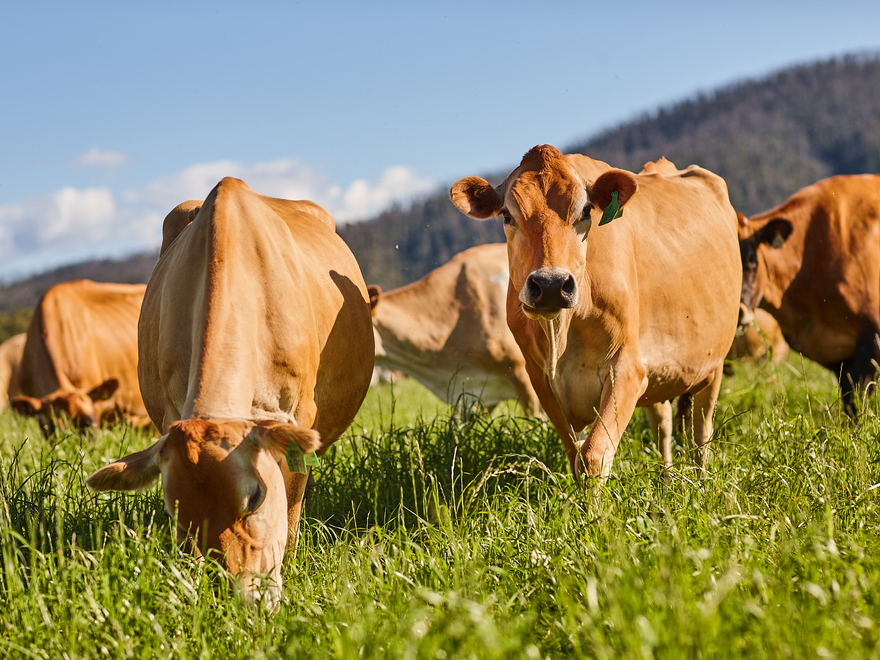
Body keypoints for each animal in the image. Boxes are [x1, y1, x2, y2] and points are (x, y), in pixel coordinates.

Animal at [451, 146, 741, 478]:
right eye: (507, 214)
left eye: (586, 211)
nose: (551, 284)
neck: (562, 335)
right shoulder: (540, 378)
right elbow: (574, 454)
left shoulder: (627, 367)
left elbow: (593, 456)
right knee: (663, 426)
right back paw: (667, 482)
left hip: (713, 364)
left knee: (701, 434)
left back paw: (701, 481)